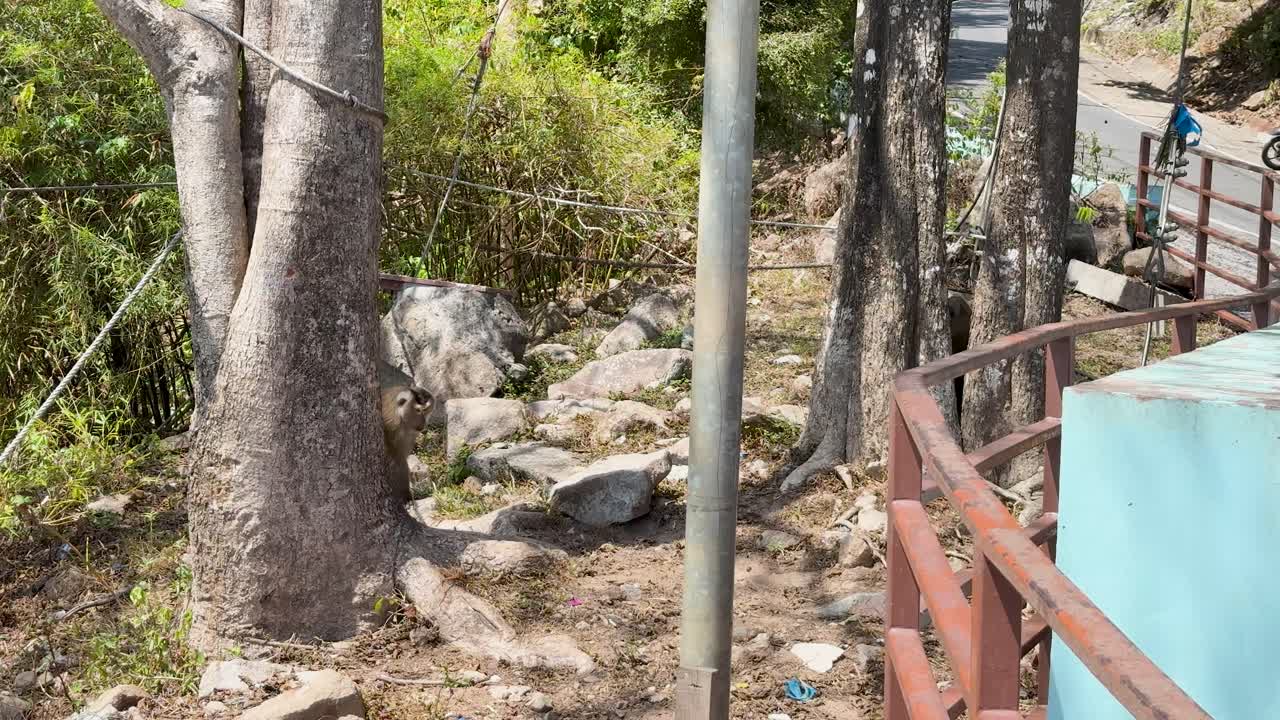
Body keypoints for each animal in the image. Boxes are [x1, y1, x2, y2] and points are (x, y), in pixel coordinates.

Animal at [379, 360, 432, 504]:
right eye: (418, 410)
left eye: (425, 410)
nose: (423, 424)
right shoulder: (392, 426)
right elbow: (397, 462)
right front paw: (405, 495)